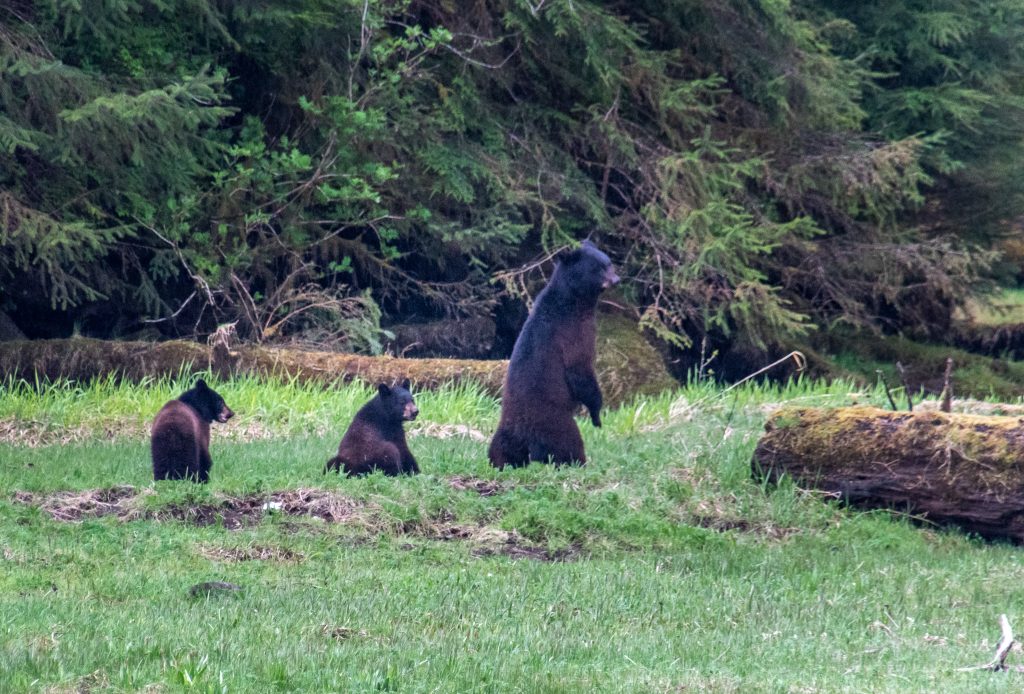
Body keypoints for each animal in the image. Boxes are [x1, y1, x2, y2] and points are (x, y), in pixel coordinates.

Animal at [488, 239, 620, 469]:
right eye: (598, 267)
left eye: (609, 262)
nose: (617, 279)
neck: (574, 303)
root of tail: (523, 433)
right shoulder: (572, 334)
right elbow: (580, 371)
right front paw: (596, 415)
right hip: (555, 424)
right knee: (568, 444)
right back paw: (578, 461)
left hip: (506, 431)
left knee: (501, 449)